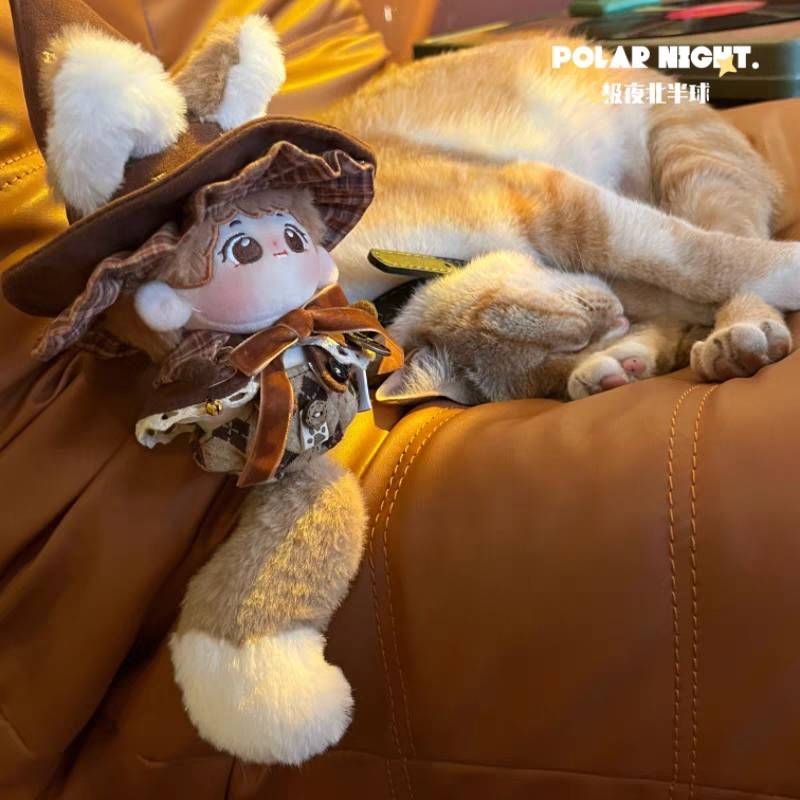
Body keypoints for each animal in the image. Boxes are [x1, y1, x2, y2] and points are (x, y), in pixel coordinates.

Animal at [315, 34, 799, 402]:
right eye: (573, 348)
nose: (615, 322)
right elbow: (670, 303)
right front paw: (609, 364)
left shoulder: (552, 202)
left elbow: (699, 262)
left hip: (690, 162)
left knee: (729, 236)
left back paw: (739, 335)